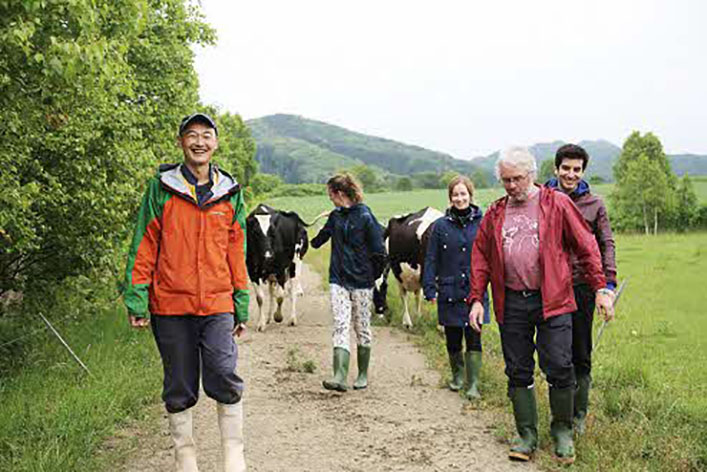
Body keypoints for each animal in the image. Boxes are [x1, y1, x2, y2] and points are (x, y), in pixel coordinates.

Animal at [245, 204, 308, 332]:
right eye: (255, 232)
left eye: (273, 232)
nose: (269, 255)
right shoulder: (252, 271)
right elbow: (260, 298)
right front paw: (261, 323)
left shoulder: (280, 269)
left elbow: (280, 296)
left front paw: (278, 316)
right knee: (271, 292)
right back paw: (269, 317)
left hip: (295, 263)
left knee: (292, 290)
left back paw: (292, 319)